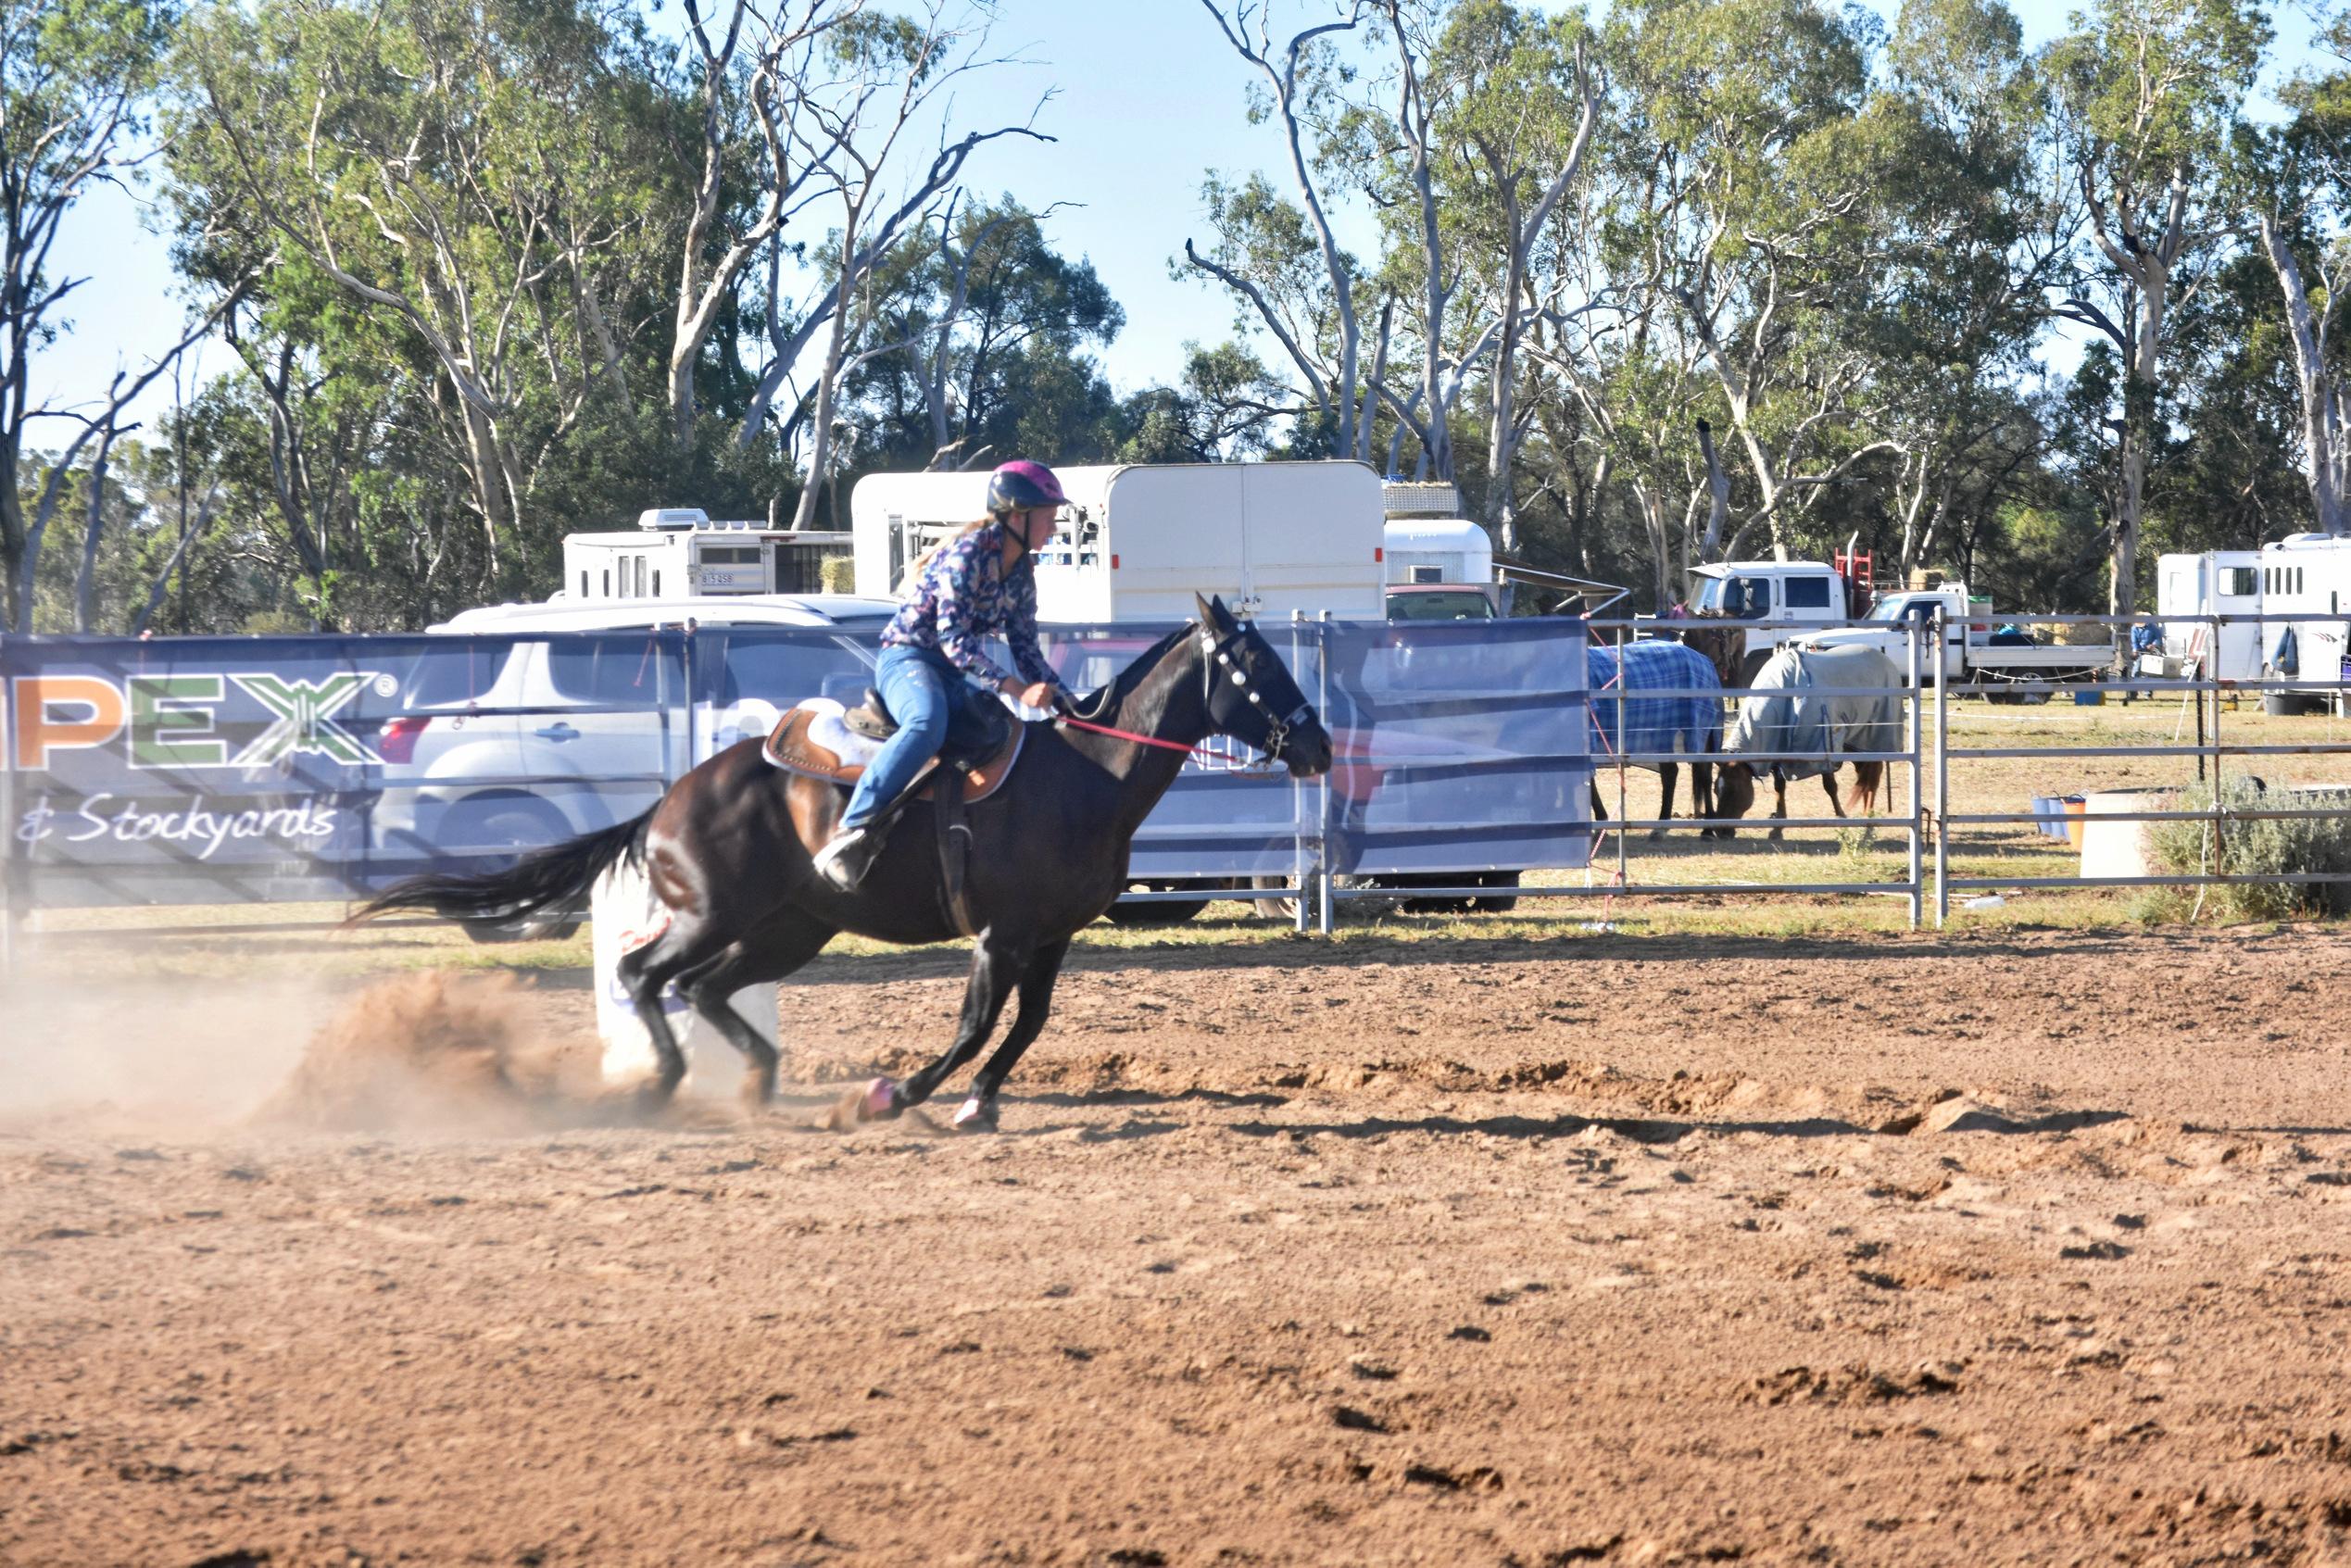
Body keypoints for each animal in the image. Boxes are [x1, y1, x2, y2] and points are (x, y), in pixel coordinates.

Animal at [355, 596, 1335, 1128]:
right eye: (1254, 664)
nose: (1320, 744)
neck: (1086, 772)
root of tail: (670, 799)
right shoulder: (999, 934)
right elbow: (977, 1024)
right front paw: (892, 1096)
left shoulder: (1051, 937)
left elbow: (1025, 1027)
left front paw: (978, 1102)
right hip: (712, 912)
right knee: (644, 973)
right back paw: (664, 1083)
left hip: (790, 930)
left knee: (703, 986)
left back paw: (755, 1081)